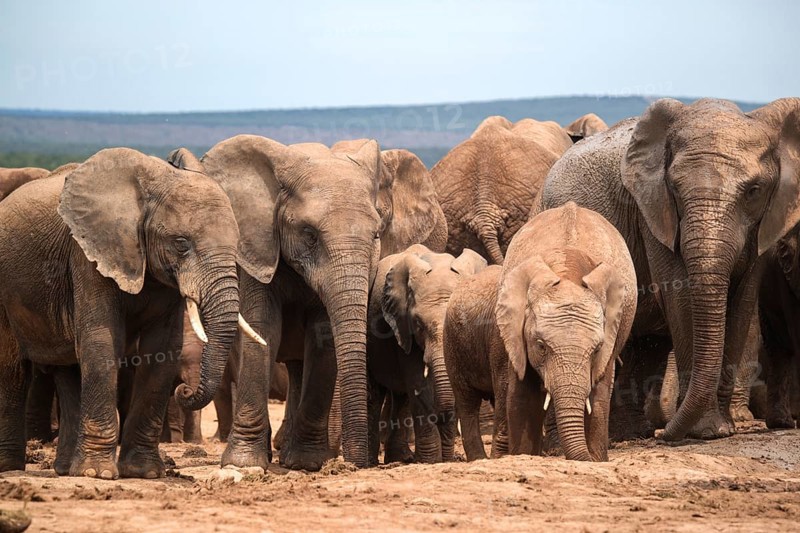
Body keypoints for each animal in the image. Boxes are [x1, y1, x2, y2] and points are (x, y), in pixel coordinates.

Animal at [0, 148, 262, 479]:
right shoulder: (88, 255)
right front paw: (98, 474)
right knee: (12, 370)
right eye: (181, 243)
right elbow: (100, 342)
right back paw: (11, 468)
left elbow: (162, 350)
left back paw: (65, 469)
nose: (185, 391)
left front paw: (144, 472)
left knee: (69, 371)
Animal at [168, 137, 446, 470]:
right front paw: (243, 463)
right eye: (310, 235)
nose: (355, 464)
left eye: (377, 234)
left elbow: (322, 336)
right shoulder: (257, 248)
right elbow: (262, 327)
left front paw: (305, 463)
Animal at [367, 244, 487, 465]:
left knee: (402, 397)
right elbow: (418, 385)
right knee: (376, 393)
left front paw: (443, 459)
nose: (439, 416)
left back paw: (401, 458)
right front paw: (431, 460)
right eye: (418, 324)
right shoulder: (402, 327)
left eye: (458, 320)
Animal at [534, 98, 800, 442]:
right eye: (674, 187)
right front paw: (707, 431)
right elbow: (681, 298)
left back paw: (633, 434)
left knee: (646, 342)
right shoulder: (652, 212)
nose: (666, 434)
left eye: (754, 190)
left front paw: (722, 430)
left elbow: (741, 303)